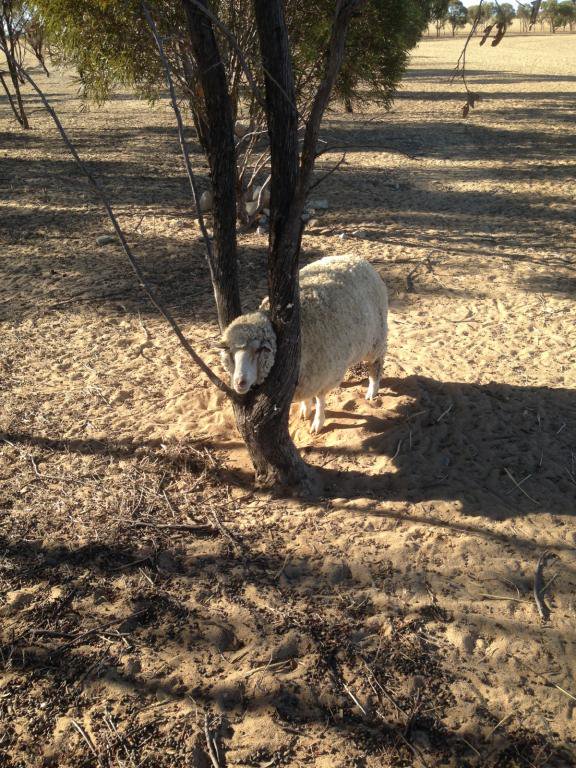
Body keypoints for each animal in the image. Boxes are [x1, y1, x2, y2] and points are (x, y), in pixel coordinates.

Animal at [219, 255, 388, 436]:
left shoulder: (323, 373)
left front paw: (318, 422)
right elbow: (307, 396)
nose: (239, 382)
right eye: (230, 352)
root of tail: (356, 258)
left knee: (376, 364)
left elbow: (320, 399)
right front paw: (305, 410)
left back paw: (372, 390)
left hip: (376, 339)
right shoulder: (305, 377)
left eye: (260, 349)